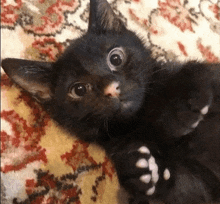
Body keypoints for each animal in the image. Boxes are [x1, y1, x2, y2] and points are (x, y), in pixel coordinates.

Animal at [1, 0, 220, 204]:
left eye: (115, 58)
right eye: (79, 90)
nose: (111, 88)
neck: (143, 118)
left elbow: (200, 71)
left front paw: (183, 103)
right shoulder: (201, 185)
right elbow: (187, 189)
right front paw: (140, 171)